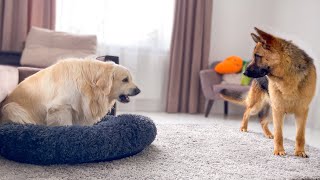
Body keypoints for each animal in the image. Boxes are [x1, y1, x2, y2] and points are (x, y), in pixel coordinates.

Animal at [220, 27, 316, 158]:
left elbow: (300, 136)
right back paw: (244, 127)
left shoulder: (302, 112)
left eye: (257, 56)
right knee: (247, 112)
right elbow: (279, 134)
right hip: (260, 106)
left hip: (274, 112)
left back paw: (268, 134)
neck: (287, 77)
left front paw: (300, 151)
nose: (244, 73)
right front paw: (279, 150)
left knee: (263, 121)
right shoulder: (279, 110)